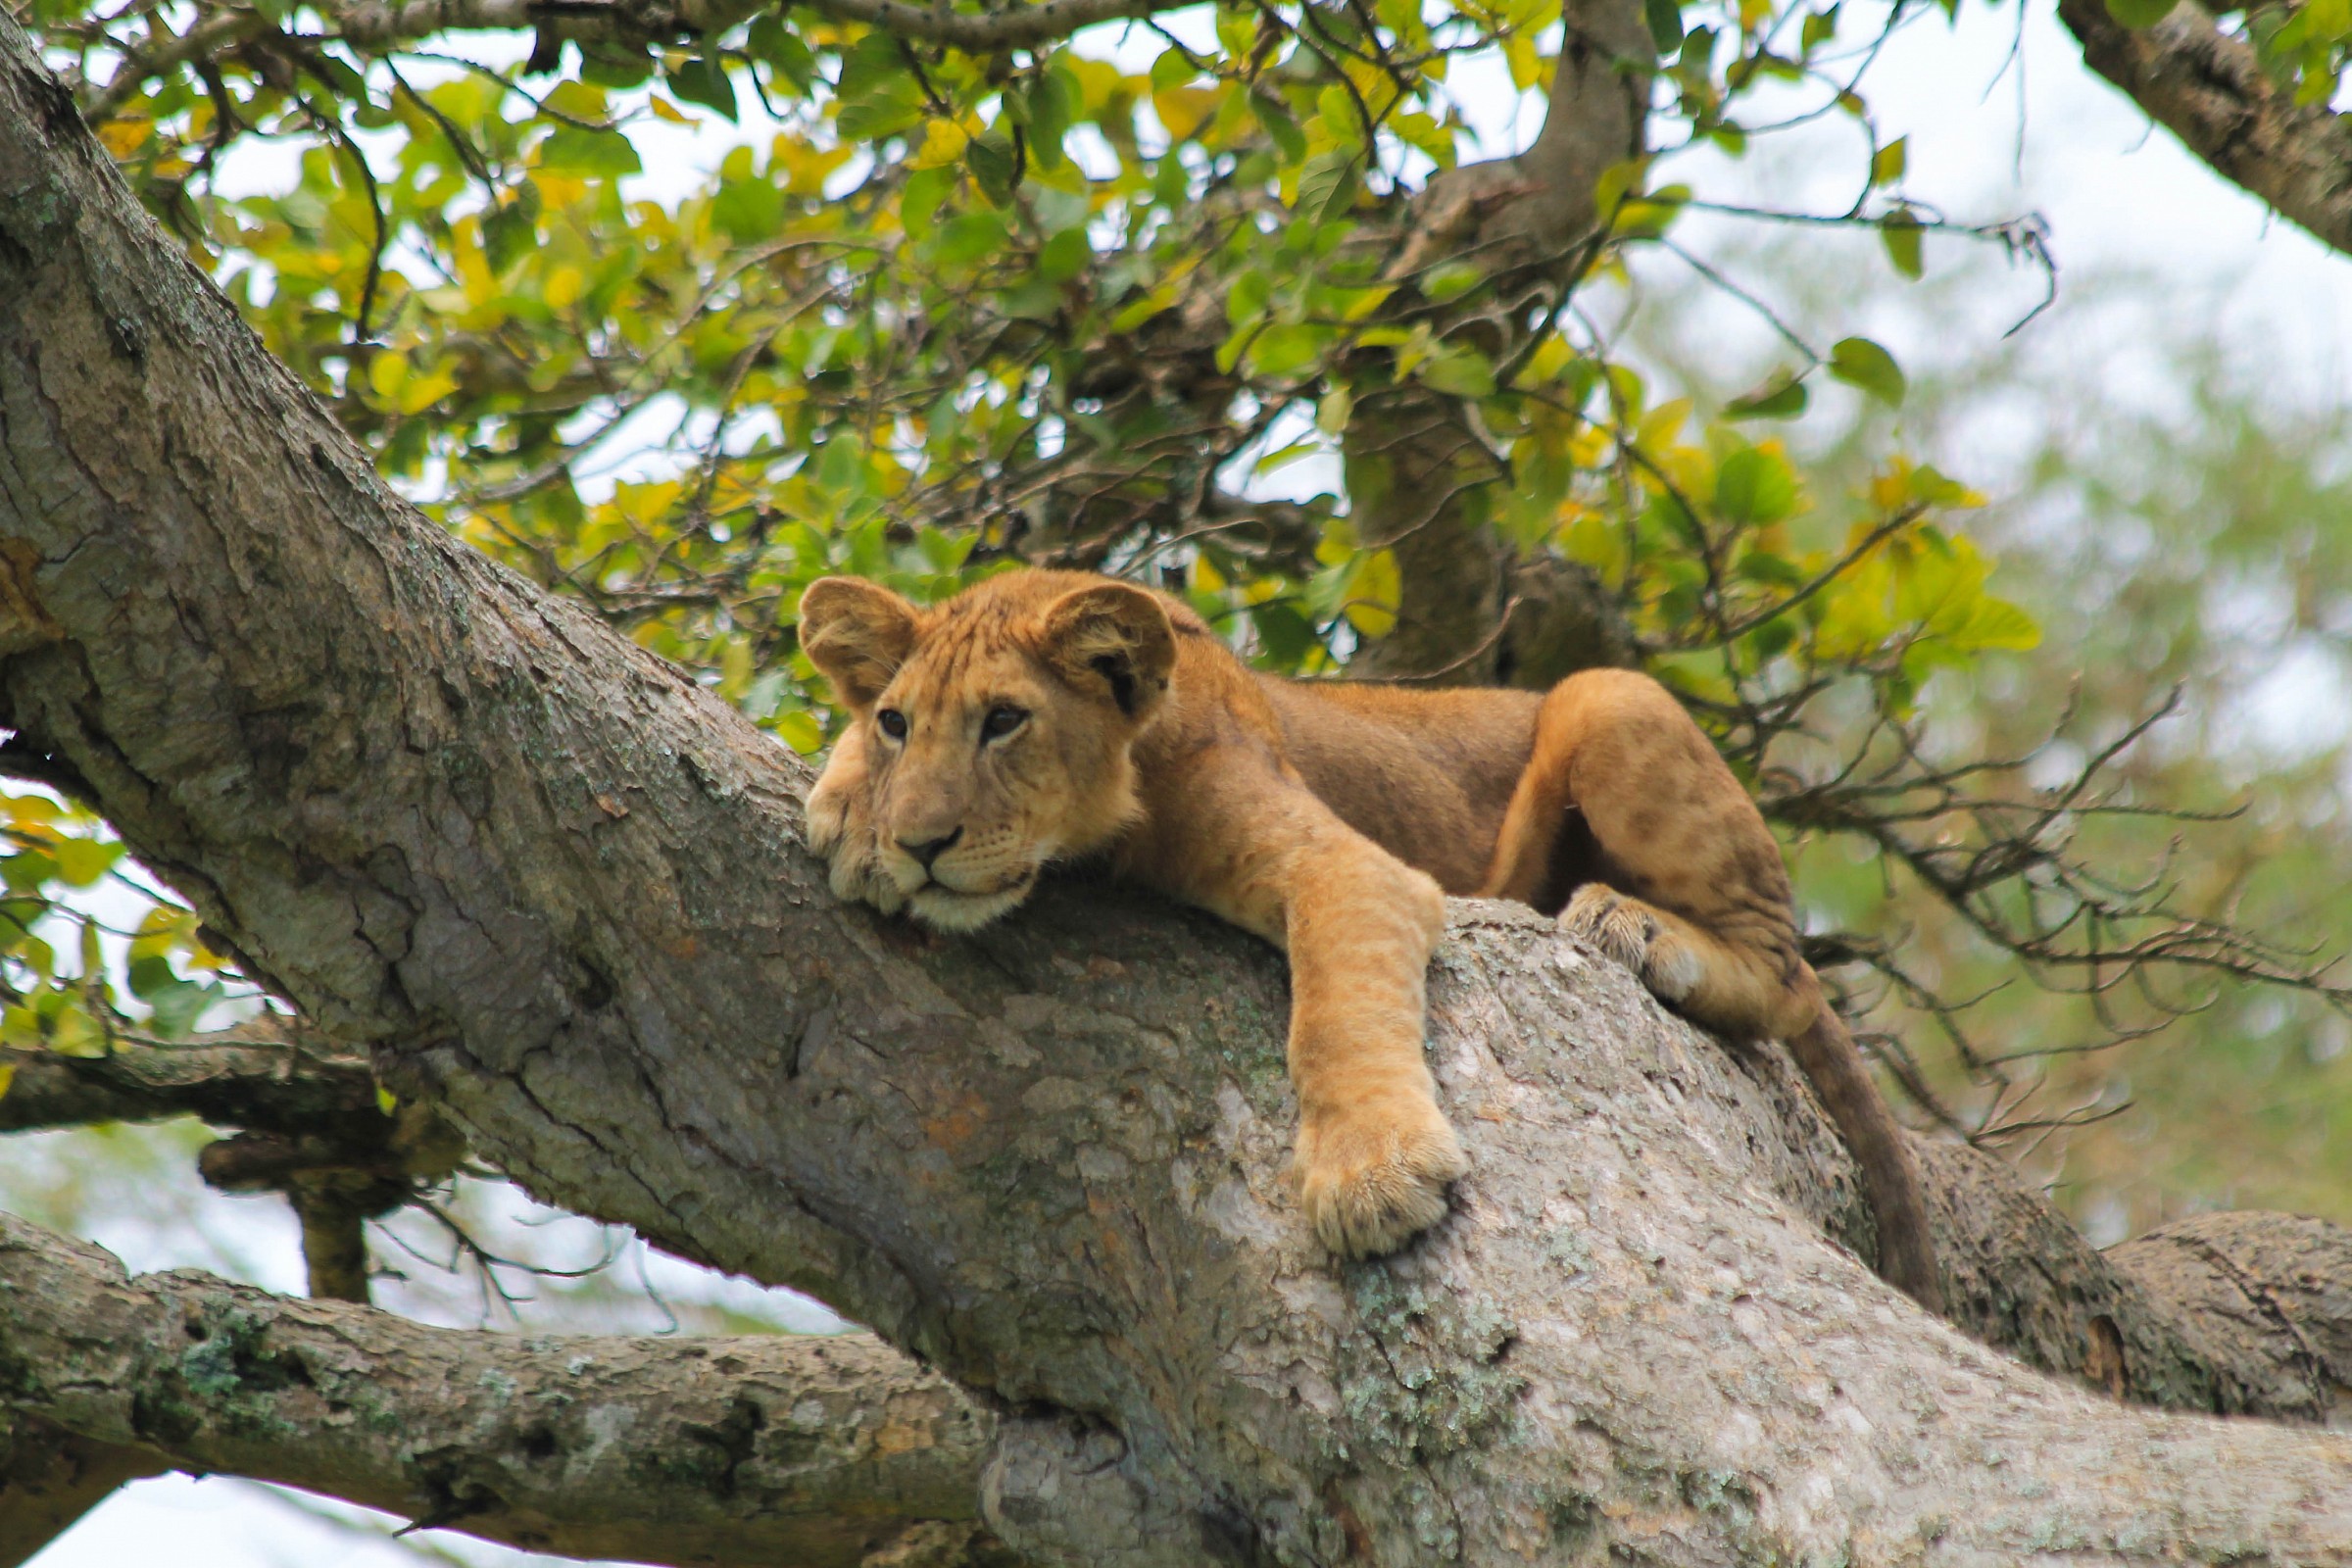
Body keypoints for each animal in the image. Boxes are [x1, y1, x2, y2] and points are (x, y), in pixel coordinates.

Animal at [797, 568, 1940, 1311]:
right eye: (898, 722)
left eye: (1005, 721)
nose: (923, 844)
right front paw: (852, 813)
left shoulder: (1346, 865)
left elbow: (1335, 1018)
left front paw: (1372, 1177)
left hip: (1606, 699)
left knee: (1789, 973)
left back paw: (1636, 924)